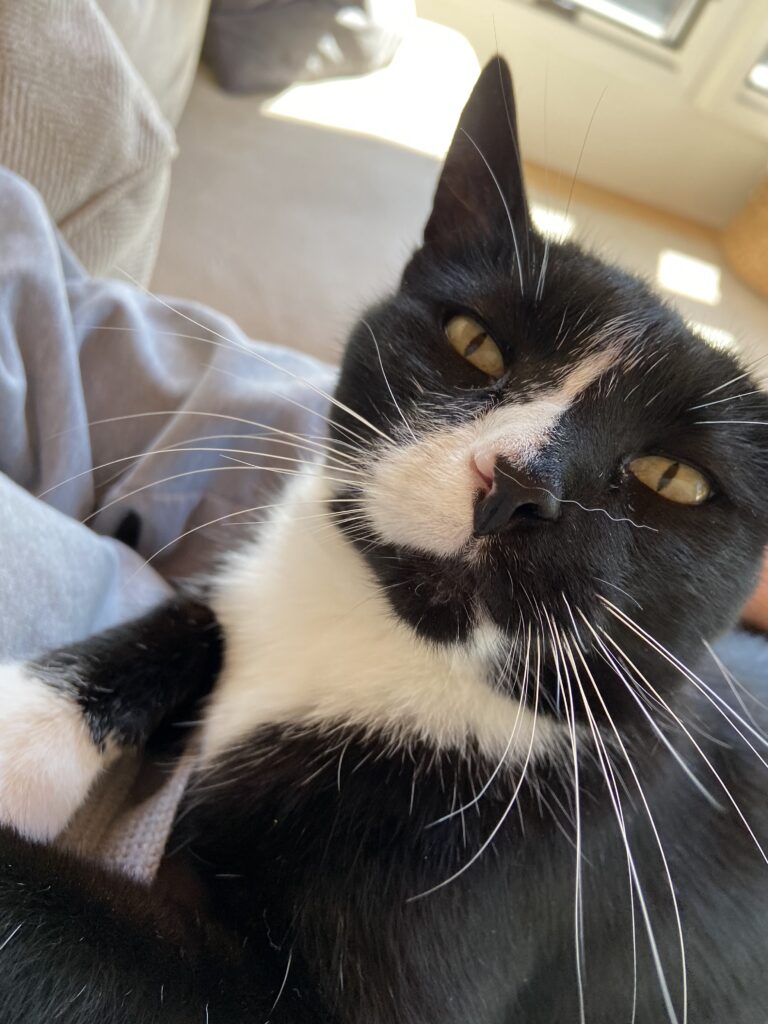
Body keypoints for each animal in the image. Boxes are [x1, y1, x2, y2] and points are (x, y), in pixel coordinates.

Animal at [1, 56, 768, 1024]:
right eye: (474, 341)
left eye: (674, 480)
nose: (519, 487)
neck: (391, 640)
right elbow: (196, 614)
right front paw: (21, 732)